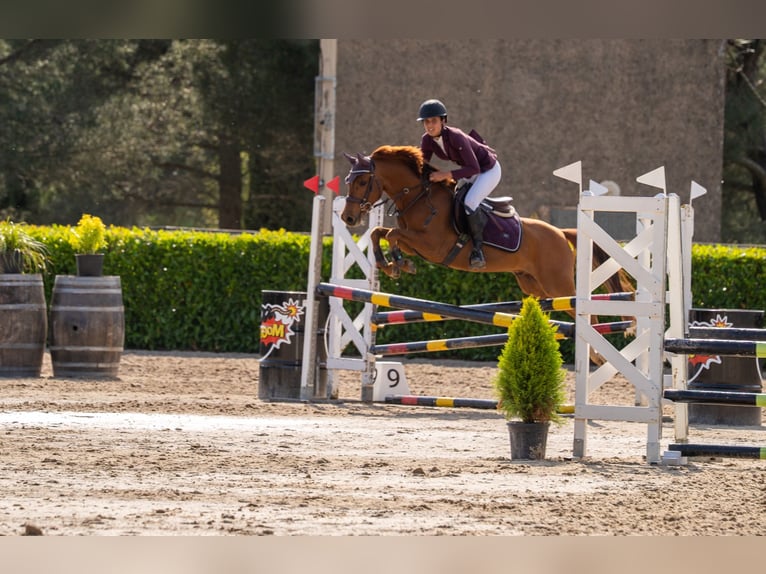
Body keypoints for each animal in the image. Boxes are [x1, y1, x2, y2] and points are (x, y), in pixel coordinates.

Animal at [340, 145, 633, 302]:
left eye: (363, 181)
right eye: (348, 180)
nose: (348, 218)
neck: (418, 196)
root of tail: (560, 233)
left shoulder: (432, 246)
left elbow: (392, 234)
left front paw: (399, 264)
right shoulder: (416, 242)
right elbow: (380, 232)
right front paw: (389, 264)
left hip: (558, 284)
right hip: (532, 284)